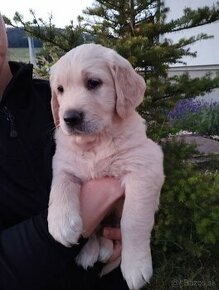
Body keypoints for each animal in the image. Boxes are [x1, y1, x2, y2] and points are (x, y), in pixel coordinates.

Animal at [48, 43, 164, 290]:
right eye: (60, 89)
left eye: (93, 83)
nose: (69, 118)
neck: (96, 141)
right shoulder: (62, 161)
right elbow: (60, 184)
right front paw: (61, 223)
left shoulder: (145, 165)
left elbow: (133, 220)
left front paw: (135, 266)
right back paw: (91, 252)